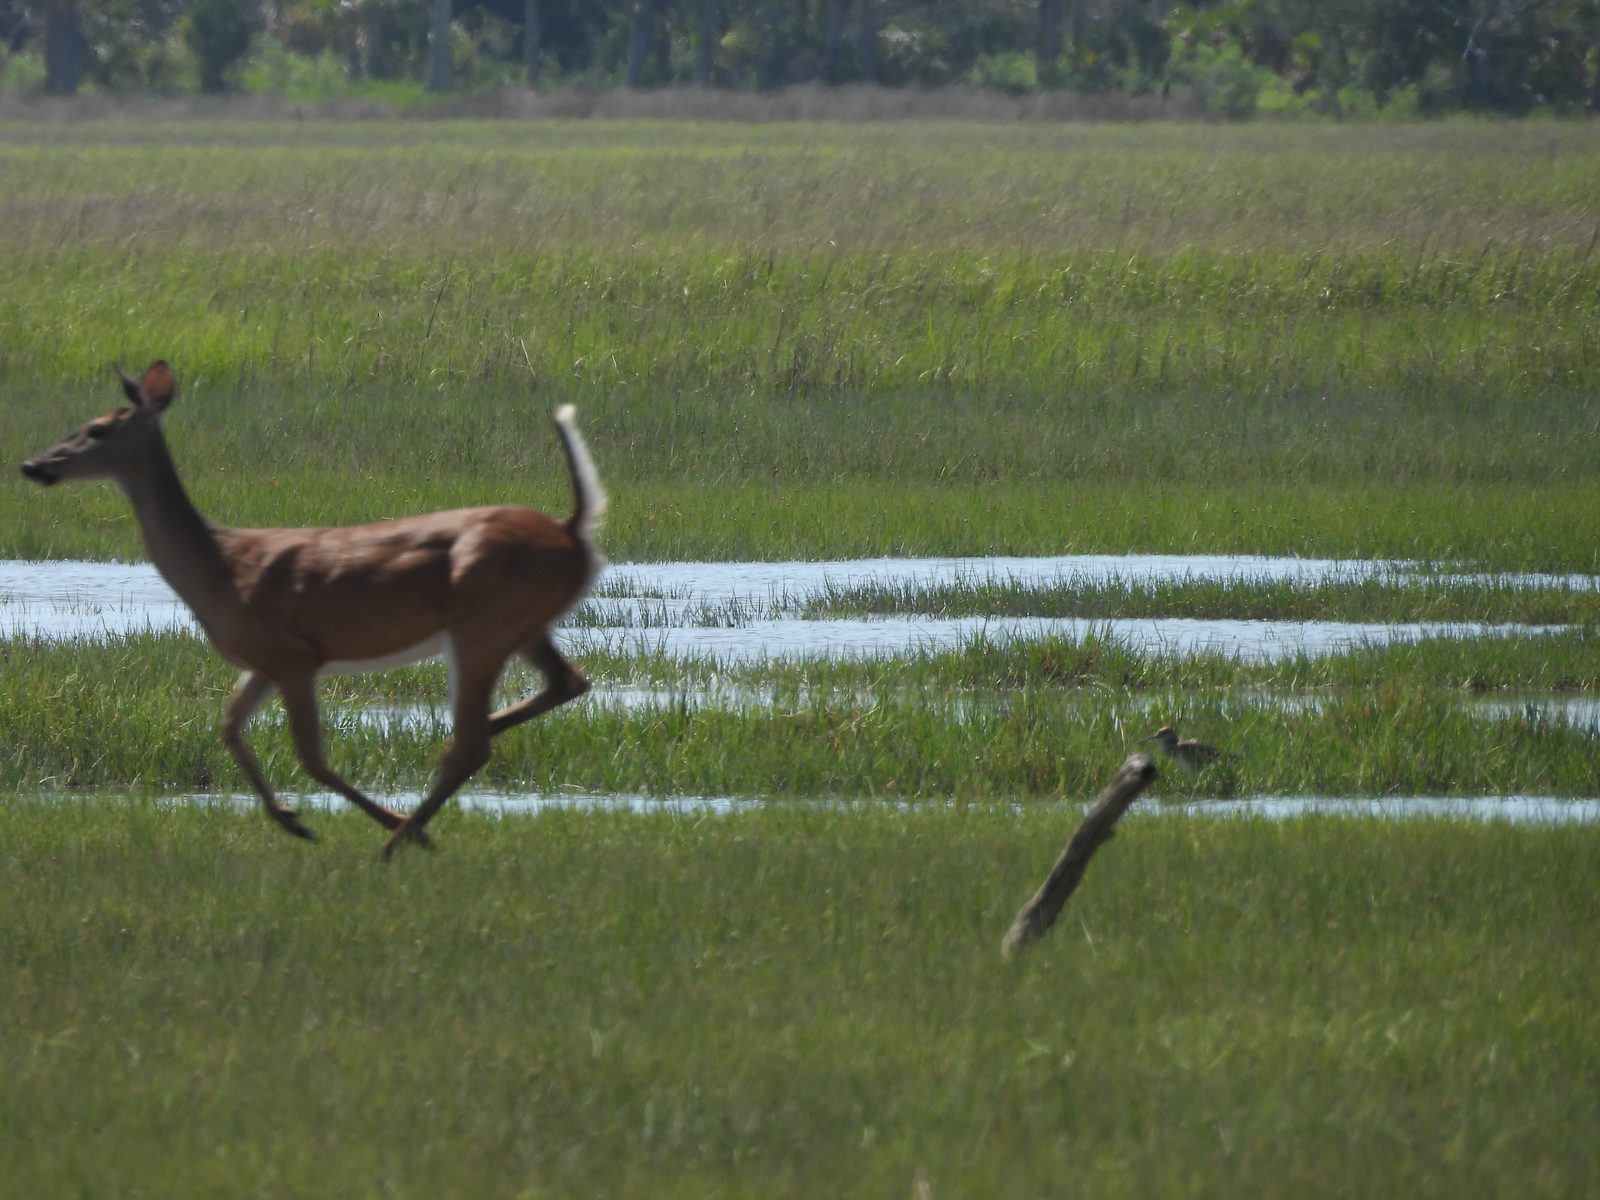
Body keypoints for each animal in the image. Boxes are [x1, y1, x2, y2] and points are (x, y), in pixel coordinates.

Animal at [21, 361, 605, 858]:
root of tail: (572, 531)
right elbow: (229, 725)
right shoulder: (262, 662)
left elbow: (312, 758)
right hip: (522, 624)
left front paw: (337, 822)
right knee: (565, 684)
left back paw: (398, 841)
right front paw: (287, 817)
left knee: (474, 742)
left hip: (481, 624)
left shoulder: (293, 655)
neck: (221, 569)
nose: (32, 465)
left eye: (97, 429)